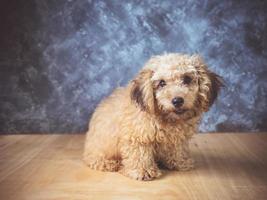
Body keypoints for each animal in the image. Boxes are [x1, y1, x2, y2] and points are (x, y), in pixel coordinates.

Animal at [84, 53, 224, 181]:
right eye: (162, 83)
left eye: (187, 79)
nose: (177, 100)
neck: (166, 118)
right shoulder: (137, 136)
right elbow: (140, 154)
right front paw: (143, 171)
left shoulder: (177, 138)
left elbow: (177, 149)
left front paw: (180, 162)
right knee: (93, 160)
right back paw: (111, 163)